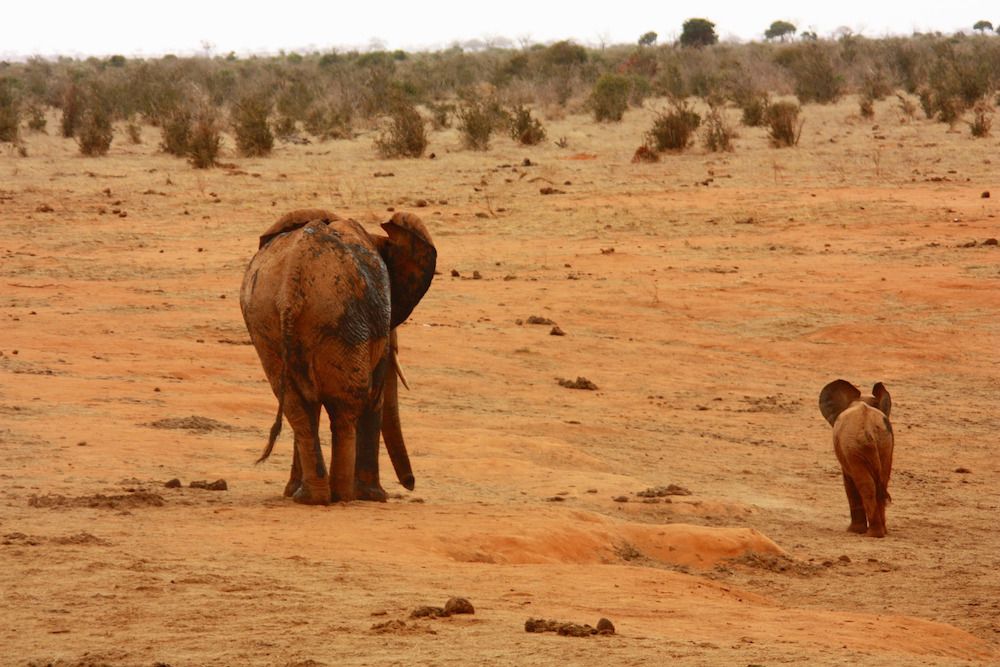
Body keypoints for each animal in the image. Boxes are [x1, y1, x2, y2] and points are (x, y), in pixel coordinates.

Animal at [240, 209, 436, 506]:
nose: (411, 483)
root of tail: (293, 278)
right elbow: (375, 395)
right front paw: (375, 497)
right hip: (343, 322)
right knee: (347, 405)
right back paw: (344, 496)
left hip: (267, 325)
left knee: (298, 408)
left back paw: (309, 497)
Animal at [816, 380, 896, 536]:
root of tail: (869, 429)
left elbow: (849, 481)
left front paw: (853, 531)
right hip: (885, 444)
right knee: (882, 482)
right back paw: (882, 532)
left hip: (855, 448)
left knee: (866, 485)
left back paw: (873, 534)